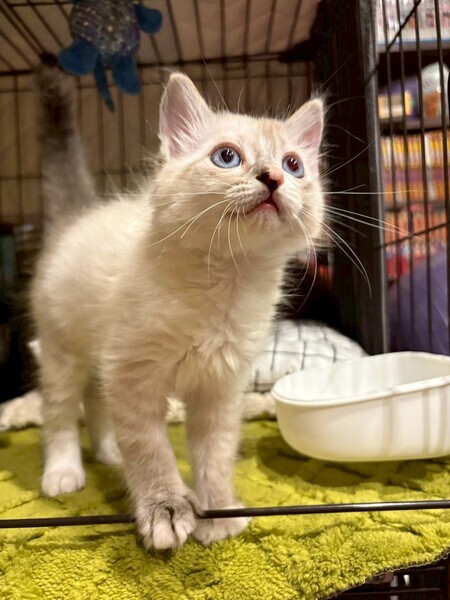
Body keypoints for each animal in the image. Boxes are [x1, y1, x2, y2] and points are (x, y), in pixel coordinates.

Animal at [32, 61, 325, 550]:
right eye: (226, 157)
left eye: (294, 165)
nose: (274, 178)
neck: (226, 283)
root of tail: (79, 216)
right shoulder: (133, 377)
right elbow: (150, 451)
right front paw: (166, 510)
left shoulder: (219, 388)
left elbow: (214, 455)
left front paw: (218, 514)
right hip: (62, 354)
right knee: (59, 414)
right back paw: (63, 473)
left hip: (97, 360)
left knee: (95, 403)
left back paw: (108, 454)